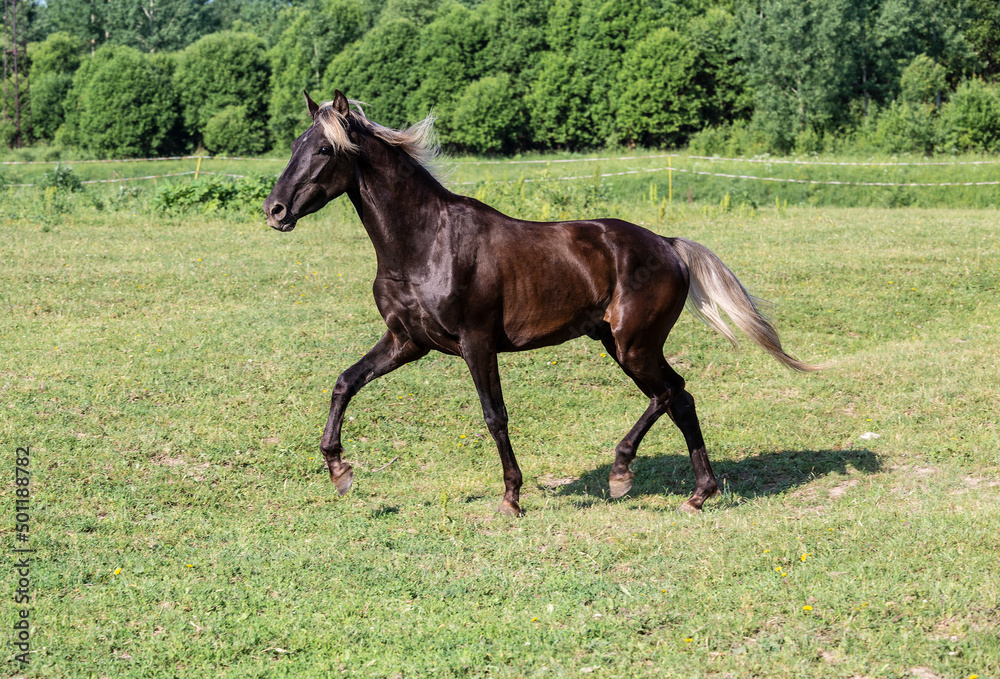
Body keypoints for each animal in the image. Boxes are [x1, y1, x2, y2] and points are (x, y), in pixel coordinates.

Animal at [266, 90, 820, 516]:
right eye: (295, 145)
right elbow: (344, 383)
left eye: (324, 150)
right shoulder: (406, 342)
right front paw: (339, 470)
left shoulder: (476, 343)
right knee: (680, 398)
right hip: (621, 344)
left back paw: (622, 473)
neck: (425, 243)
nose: (275, 211)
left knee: (670, 393)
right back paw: (698, 495)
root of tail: (667, 243)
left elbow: (495, 416)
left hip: (633, 345)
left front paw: (511, 498)